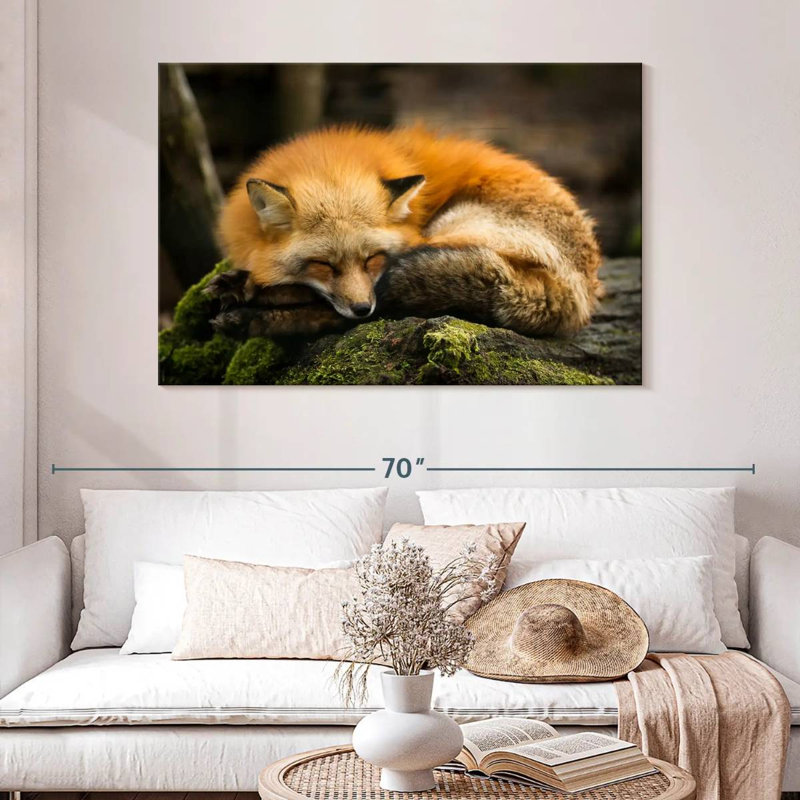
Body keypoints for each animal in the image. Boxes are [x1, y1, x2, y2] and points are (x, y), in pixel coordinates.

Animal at [207, 125, 602, 338]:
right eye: (323, 265)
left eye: (372, 259)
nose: (361, 308)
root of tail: (581, 292)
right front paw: (243, 283)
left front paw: (250, 290)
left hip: (449, 232)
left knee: (367, 310)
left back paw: (252, 315)